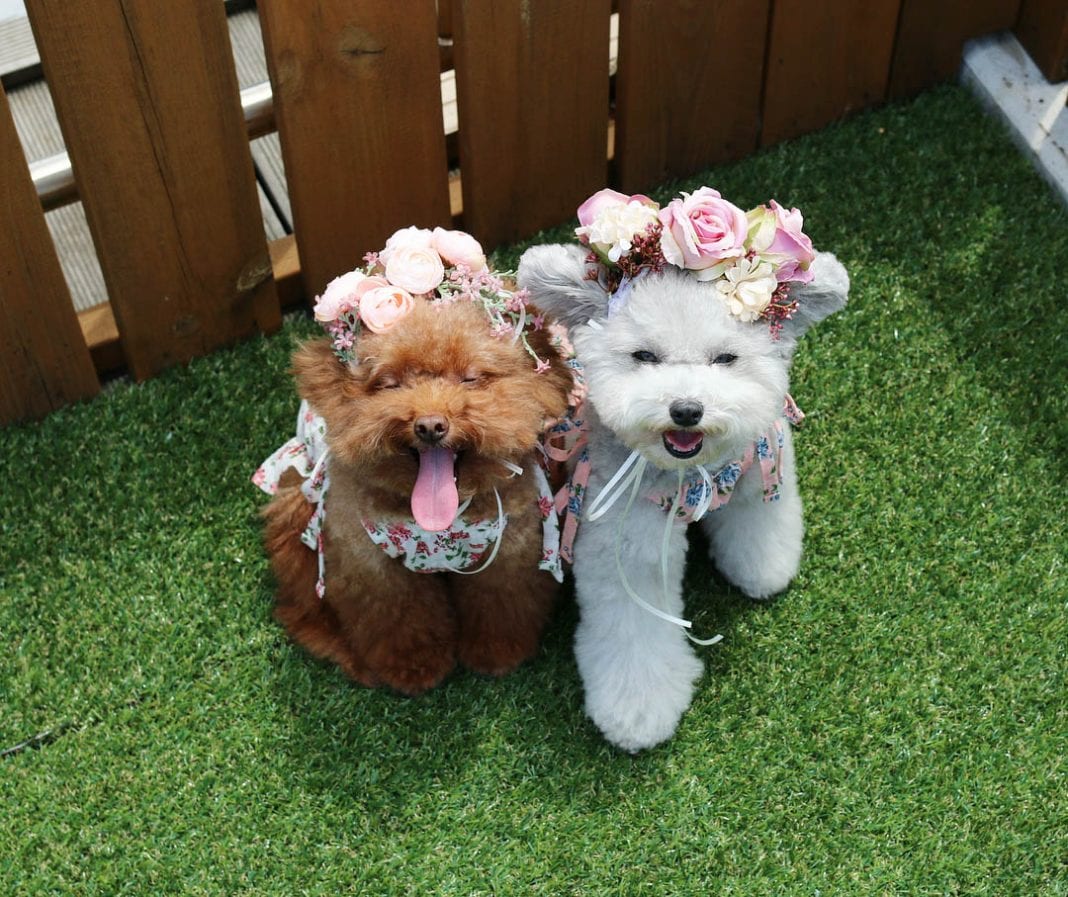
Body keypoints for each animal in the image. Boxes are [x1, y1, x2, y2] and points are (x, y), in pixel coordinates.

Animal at [260, 299, 576, 691]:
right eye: (390, 383)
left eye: (470, 377)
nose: (430, 425)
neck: (440, 527)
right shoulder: (370, 566)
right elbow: (400, 618)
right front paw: (414, 669)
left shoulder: (510, 552)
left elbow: (499, 606)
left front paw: (496, 655)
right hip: (298, 510)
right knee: (305, 606)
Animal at [519, 192, 850, 751]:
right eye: (644, 356)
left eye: (726, 358)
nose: (687, 409)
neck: (696, 474)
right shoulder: (627, 545)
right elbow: (635, 631)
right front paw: (638, 711)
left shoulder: (762, 469)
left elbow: (761, 525)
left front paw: (764, 566)